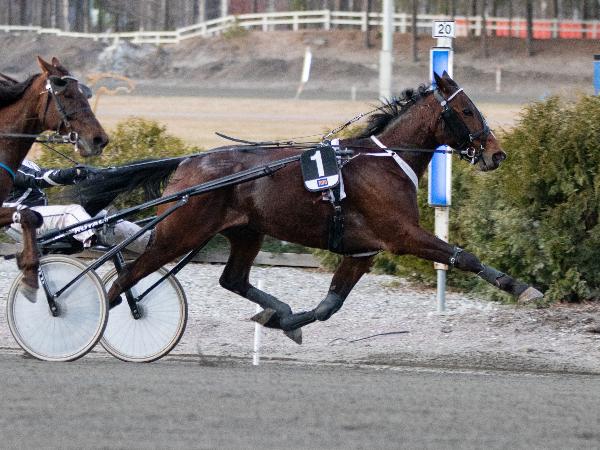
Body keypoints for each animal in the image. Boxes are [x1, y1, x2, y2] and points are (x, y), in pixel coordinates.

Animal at [106, 71, 543, 344]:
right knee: (122, 280)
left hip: (247, 231)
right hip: (179, 233)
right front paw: (521, 287)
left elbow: (330, 305)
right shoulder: (401, 235)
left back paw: (273, 307)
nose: (497, 154)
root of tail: (186, 163)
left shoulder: (363, 250)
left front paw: (283, 321)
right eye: (467, 110)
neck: (384, 161)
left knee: (232, 279)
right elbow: (463, 256)